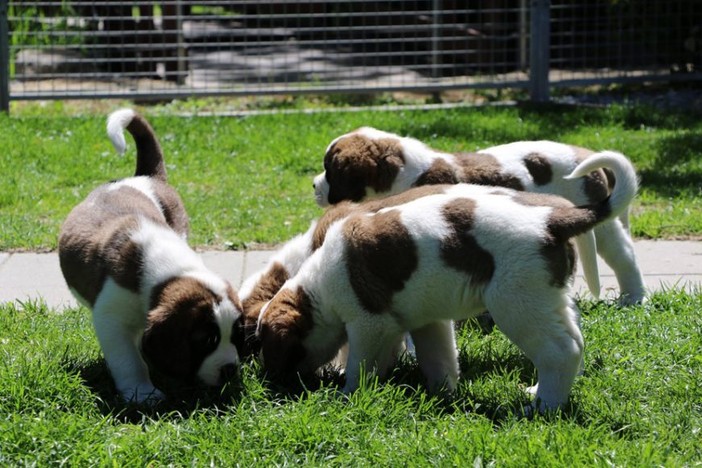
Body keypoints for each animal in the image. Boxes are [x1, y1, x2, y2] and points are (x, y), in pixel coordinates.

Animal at [60, 109, 248, 402]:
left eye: (237, 334)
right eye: (207, 341)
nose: (230, 369)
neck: (170, 271)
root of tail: (144, 177)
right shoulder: (111, 318)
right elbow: (128, 359)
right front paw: (142, 393)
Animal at [262, 152, 640, 412]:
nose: (269, 387)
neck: (317, 288)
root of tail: (554, 218)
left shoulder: (368, 323)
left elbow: (360, 365)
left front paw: (347, 394)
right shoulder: (427, 322)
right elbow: (439, 359)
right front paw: (442, 394)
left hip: (518, 302)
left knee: (561, 350)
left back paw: (543, 407)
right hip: (548, 298)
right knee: (573, 341)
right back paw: (540, 392)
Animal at [316, 128, 648, 304]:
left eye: (329, 171)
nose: (313, 185)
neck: (403, 173)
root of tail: (585, 153)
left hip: (601, 224)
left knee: (623, 254)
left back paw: (633, 297)